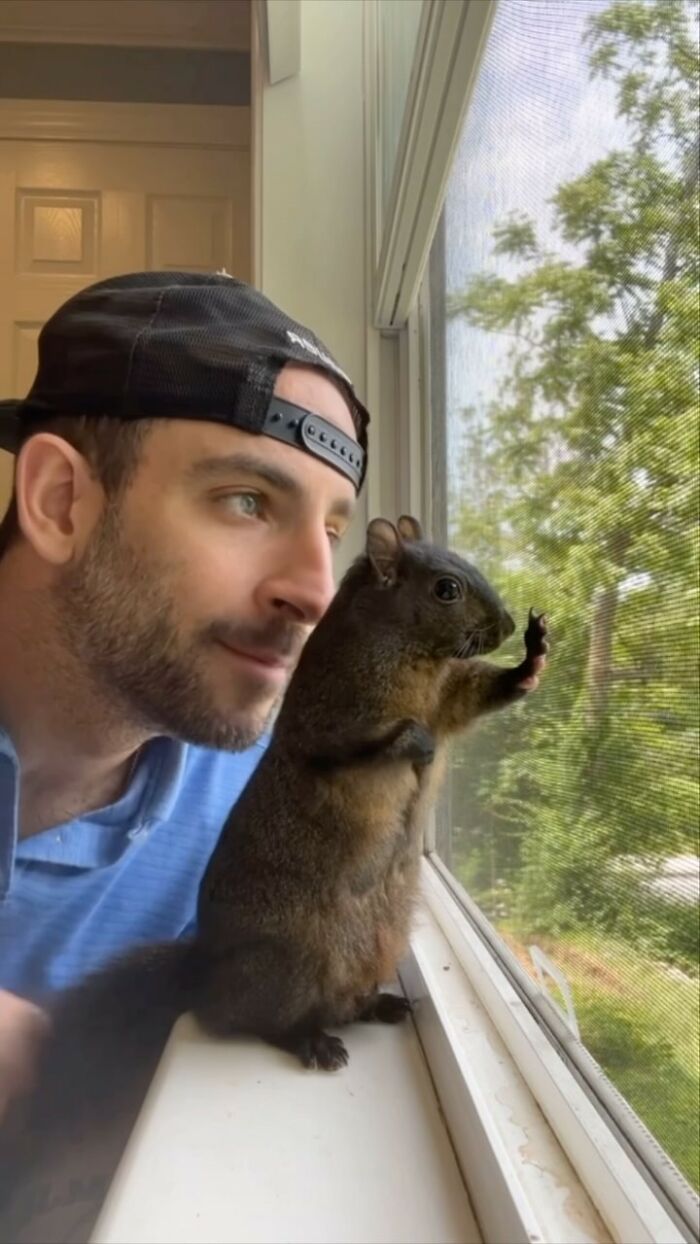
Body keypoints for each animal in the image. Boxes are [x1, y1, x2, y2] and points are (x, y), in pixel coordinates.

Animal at [0, 515, 548, 1215]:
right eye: (446, 588)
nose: (504, 623)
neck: (411, 657)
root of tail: (205, 975)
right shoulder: (329, 719)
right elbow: (353, 749)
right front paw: (410, 743)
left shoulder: (450, 694)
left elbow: (478, 695)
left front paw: (533, 656)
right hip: (292, 966)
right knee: (258, 1023)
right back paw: (311, 1043)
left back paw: (376, 1008)